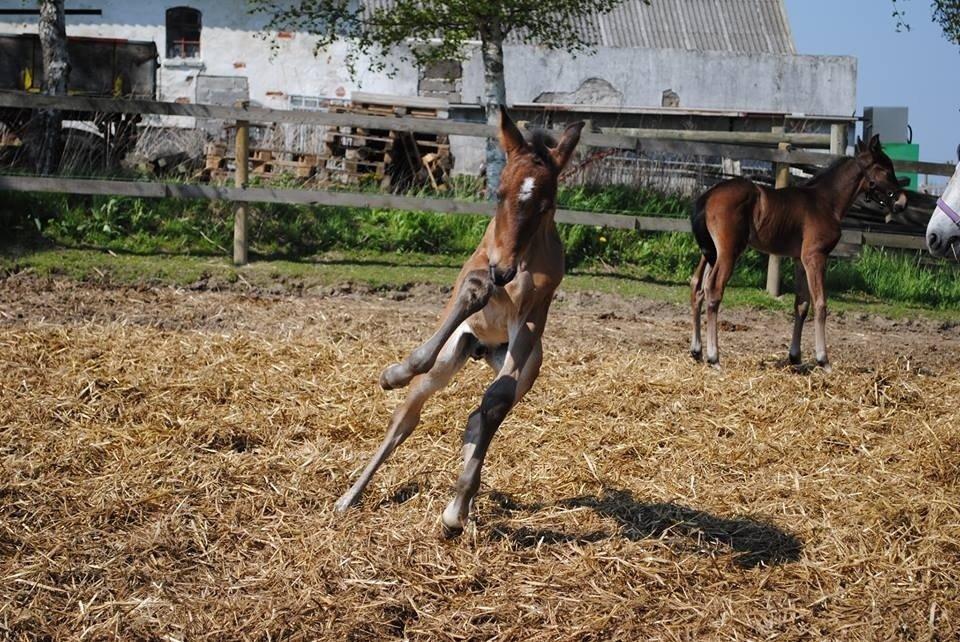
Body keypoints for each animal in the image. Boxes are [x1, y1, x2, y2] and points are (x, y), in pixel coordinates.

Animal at [334, 109, 584, 536]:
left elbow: (496, 400)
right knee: (404, 421)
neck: (519, 260)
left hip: (526, 366)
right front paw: (393, 373)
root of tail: (483, 349)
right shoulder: (473, 270)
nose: (504, 271)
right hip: (453, 354)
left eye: (546, 205)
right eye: (498, 193)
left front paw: (456, 509)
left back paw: (460, 507)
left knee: (482, 414)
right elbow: (471, 292)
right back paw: (350, 497)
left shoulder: (532, 317)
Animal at [688, 134, 908, 370]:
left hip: (711, 252)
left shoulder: (799, 260)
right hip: (729, 251)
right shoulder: (815, 256)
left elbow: (801, 304)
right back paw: (714, 357)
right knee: (713, 289)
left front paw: (795, 356)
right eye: (885, 169)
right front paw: (823, 360)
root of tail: (708, 196)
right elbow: (820, 304)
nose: (902, 201)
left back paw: (697, 351)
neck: (826, 202)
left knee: (698, 286)